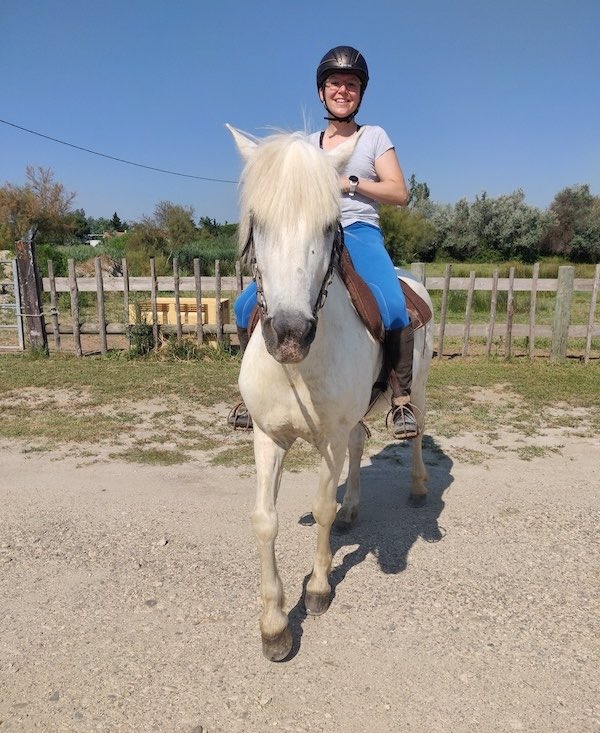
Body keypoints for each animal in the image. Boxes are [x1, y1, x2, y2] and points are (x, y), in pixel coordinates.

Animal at [227, 125, 434, 661]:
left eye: (327, 226)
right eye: (258, 223)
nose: (290, 334)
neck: (299, 370)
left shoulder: (329, 440)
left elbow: (322, 507)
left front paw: (318, 589)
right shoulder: (268, 437)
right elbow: (265, 518)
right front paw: (275, 625)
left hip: (419, 390)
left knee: (417, 432)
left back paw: (419, 487)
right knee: (360, 445)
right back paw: (354, 510)